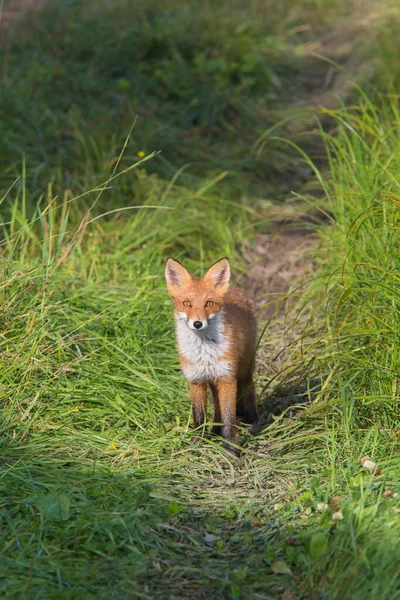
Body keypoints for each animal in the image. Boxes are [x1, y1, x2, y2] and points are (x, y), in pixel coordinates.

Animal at [164, 258, 258, 454]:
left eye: (208, 303)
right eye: (186, 303)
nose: (198, 323)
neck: (204, 352)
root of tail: (235, 289)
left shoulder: (227, 378)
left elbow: (229, 419)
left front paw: (231, 449)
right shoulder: (195, 380)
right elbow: (199, 416)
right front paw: (197, 443)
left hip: (244, 369)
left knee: (249, 387)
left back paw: (253, 419)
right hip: (213, 380)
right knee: (216, 406)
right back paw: (215, 431)